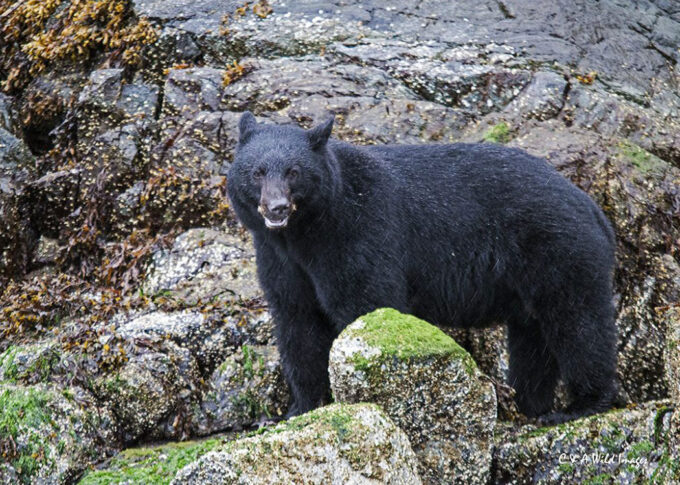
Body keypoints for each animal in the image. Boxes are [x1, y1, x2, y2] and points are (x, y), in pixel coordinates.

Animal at [226, 111, 618, 424]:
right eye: (257, 172)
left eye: (293, 172)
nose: (276, 207)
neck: (304, 234)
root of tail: (592, 208)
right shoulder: (281, 262)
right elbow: (298, 324)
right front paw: (295, 409)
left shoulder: (359, 233)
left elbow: (366, 303)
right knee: (533, 340)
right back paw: (529, 405)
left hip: (560, 250)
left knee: (580, 324)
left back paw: (582, 404)